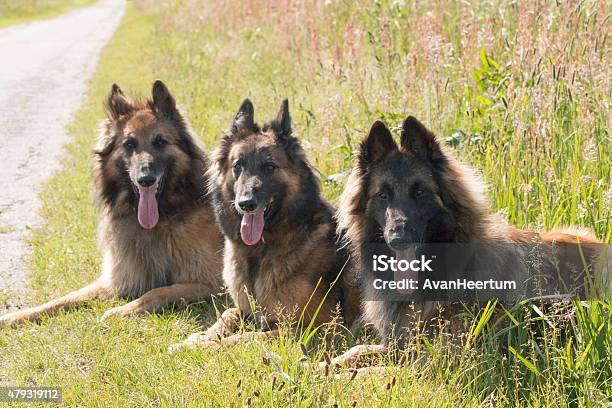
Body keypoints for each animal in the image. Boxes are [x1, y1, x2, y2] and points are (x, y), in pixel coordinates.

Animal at [170, 98, 360, 350]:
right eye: (238, 166)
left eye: (269, 167)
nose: (246, 204)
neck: (260, 252)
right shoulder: (246, 309)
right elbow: (227, 314)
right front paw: (195, 339)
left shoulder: (316, 328)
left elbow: (245, 337)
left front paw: (210, 346)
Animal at [326, 116, 604, 368]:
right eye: (383, 195)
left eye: (420, 192)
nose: (399, 240)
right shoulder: (398, 345)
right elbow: (357, 351)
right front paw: (323, 366)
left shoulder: (436, 360)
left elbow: (371, 372)